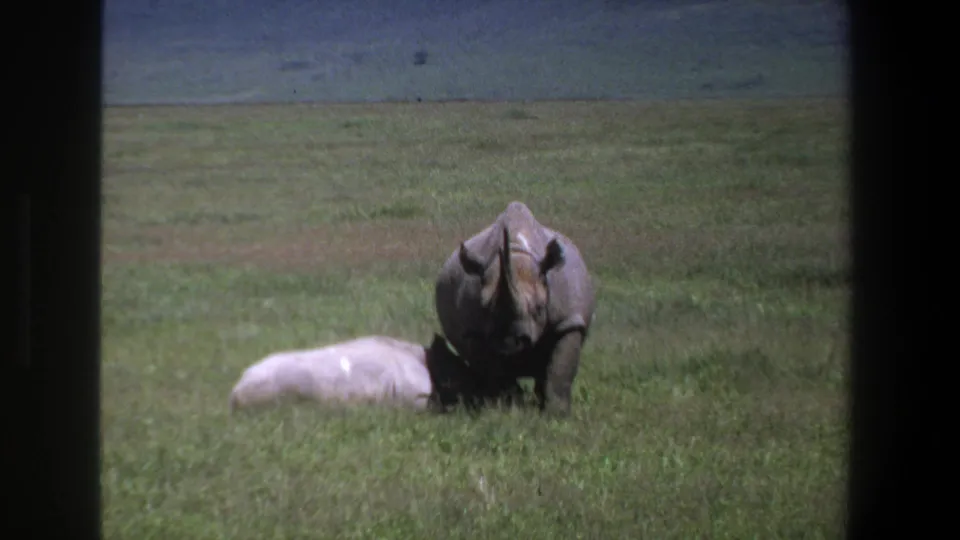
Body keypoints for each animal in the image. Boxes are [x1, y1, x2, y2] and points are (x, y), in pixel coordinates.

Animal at [434, 201, 596, 416]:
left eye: (539, 308)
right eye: (484, 307)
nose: (509, 341)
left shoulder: (568, 320)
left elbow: (560, 370)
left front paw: (557, 415)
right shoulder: (474, 332)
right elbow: (494, 371)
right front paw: (509, 409)